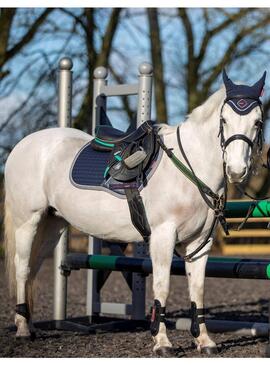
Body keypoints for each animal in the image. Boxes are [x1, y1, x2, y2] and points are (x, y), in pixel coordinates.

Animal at [3, 70, 266, 352]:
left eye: (258, 122)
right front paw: (162, 342)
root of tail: (23, 144)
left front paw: (204, 340)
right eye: (224, 120)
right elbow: (162, 287)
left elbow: (198, 290)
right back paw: (22, 330)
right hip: (28, 222)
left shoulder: (199, 243)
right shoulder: (163, 236)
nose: (237, 170)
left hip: (53, 224)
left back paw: (30, 325)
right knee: (22, 268)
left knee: (33, 268)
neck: (191, 166)